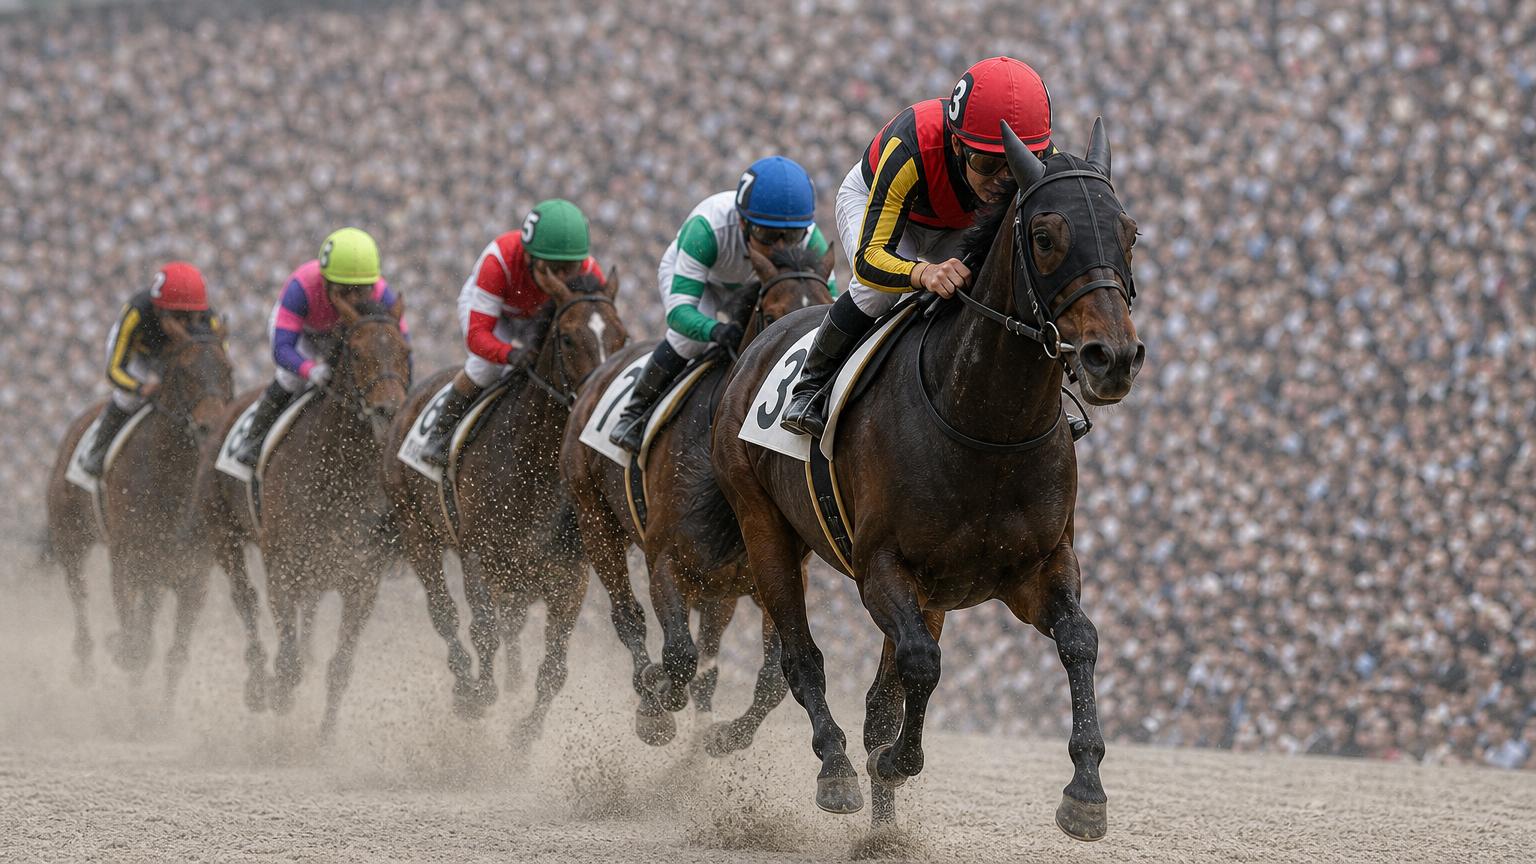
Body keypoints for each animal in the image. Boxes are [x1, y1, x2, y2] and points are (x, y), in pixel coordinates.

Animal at [46, 319, 233, 701]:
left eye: (228, 370)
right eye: (185, 370)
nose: (211, 426)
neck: (174, 478)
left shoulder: (193, 573)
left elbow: (174, 655)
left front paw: (157, 712)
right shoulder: (127, 560)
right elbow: (136, 648)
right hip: (70, 537)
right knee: (79, 593)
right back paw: (85, 665)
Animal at [194, 295, 410, 738]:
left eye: (403, 351)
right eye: (356, 352)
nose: (389, 410)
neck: (340, 474)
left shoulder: (363, 579)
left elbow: (340, 666)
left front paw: (324, 736)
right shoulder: (283, 566)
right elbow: (287, 661)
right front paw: (278, 697)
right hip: (224, 533)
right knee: (246, 600)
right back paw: (258, 684)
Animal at [382, 270, 626, 743]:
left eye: (620, 337)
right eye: (567, 338)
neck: (535, 465)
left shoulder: (570, 575)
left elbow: (555, 666)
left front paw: (525, 732)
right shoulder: (480, 555)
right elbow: (483, 631)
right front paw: (479, 696)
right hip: (418, 531)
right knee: (445, 614)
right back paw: (464, 682)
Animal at [561, 244, 834, 749]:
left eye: (826, 306)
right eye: (771, 312)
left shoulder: (775, 574)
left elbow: (771, 676)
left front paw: (724, 738)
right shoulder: (667, 560)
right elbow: (679, 655)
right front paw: (655, 708)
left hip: (718, 590)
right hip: (595, 520)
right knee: (628, 615)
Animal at [711, 120, 1143, 840]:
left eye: (1129, 232)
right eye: (1046, 237)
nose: (1112, 358)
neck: (989, 424)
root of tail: (757, 346)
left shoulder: (1036, 568)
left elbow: (1080, 641)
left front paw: (1085, 790)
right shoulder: (882, 568)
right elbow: (920, 665)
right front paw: (892, 762)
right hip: (764, 526)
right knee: (800, 659)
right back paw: (836, 769)